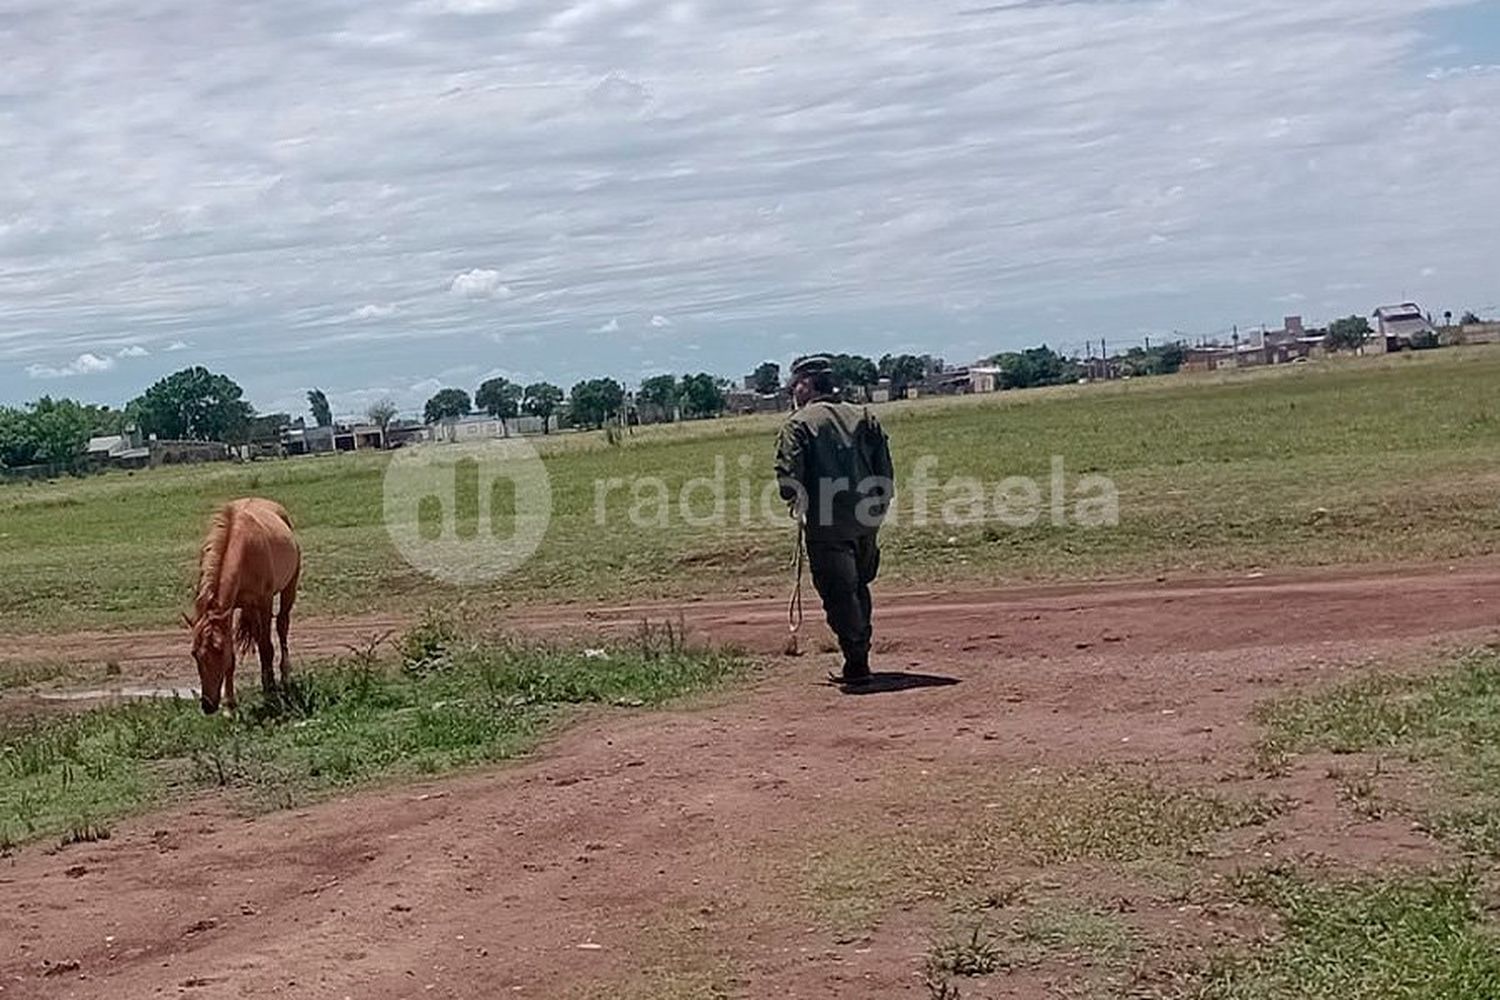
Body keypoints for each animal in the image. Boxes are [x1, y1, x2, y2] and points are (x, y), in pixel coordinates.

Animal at [187, 497, 301, 716]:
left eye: (218, 651)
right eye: (195, 654)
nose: (208, 706)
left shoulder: (264, 602)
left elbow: (266, 648)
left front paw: (270, 694)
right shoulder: (229, 610)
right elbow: (233, 659)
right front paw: (230, 707)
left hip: (288, 588)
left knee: (282, 626)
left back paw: (284, 677)